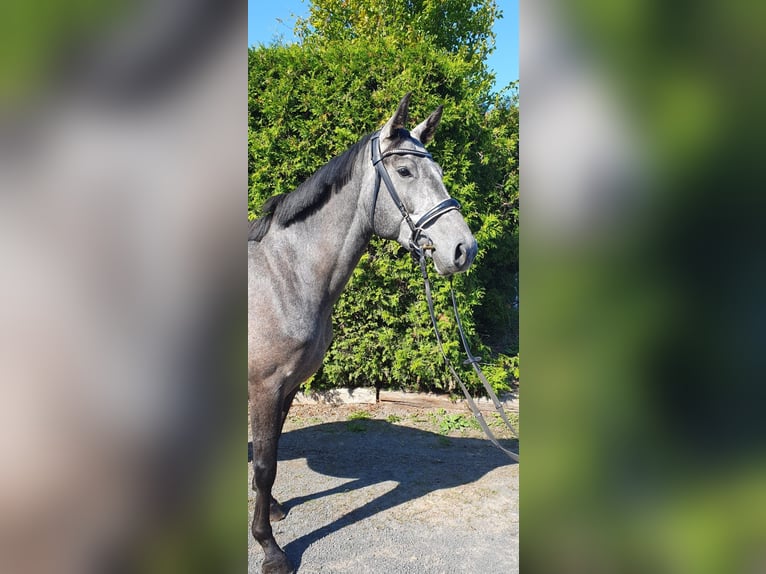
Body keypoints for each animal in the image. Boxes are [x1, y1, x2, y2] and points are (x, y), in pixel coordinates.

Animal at [249, 92, 476, 572]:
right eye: (405, 171)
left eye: (441, 173)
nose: (463, 249)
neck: (283, 275)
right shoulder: (264, 386)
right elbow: (263, 465)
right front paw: (270, 548)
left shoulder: (286, 388)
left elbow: (269, 458)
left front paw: (272, 510)